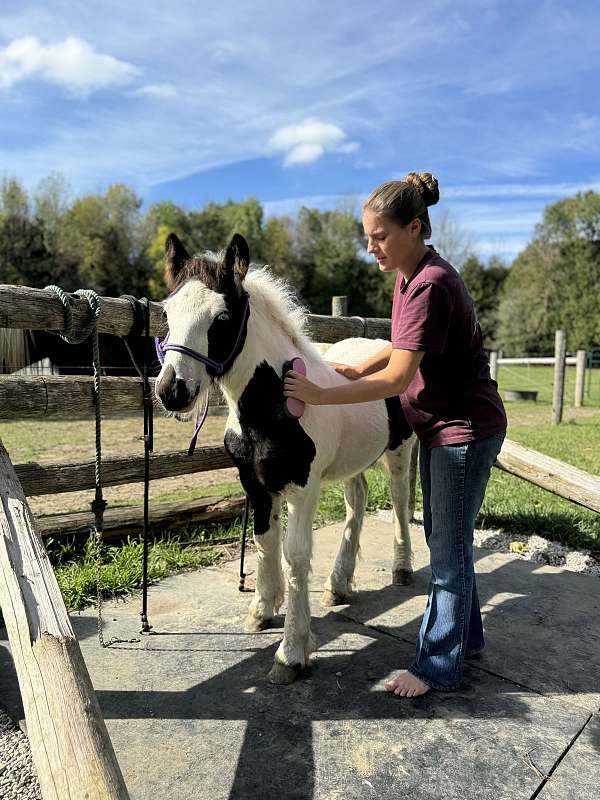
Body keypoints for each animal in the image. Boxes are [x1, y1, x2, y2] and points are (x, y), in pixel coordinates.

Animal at [155, 234, 418, 684]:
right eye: (167, 312)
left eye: (222, 317)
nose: (173, 390)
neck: (277, 402)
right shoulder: (255, 483)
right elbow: (264, 541)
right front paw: (261, 611)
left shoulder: (302, 487)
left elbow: (295, 555)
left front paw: (291, 654)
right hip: (351, 460)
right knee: (358, 501)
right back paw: (339, 583)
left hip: (399, 450)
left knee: (399, 502)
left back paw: (401, 569)